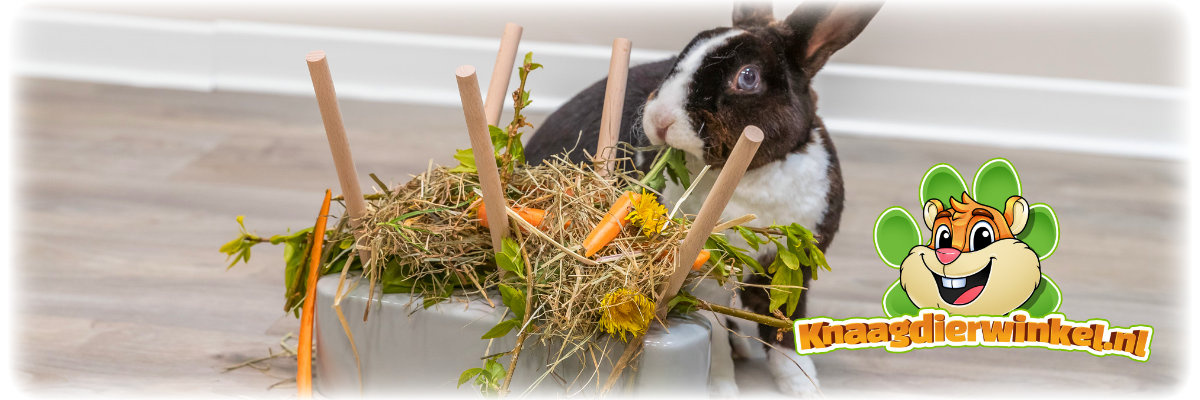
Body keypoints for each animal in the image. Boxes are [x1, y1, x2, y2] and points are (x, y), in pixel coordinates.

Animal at [524, 1, 882, 396]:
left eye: (747, 77)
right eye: (682, 56)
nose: (660, 119)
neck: (749, 177)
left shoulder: (789, 270)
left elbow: (784, 331)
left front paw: (804, 387)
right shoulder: (706, 282)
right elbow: (716, 341)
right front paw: (723, 389)